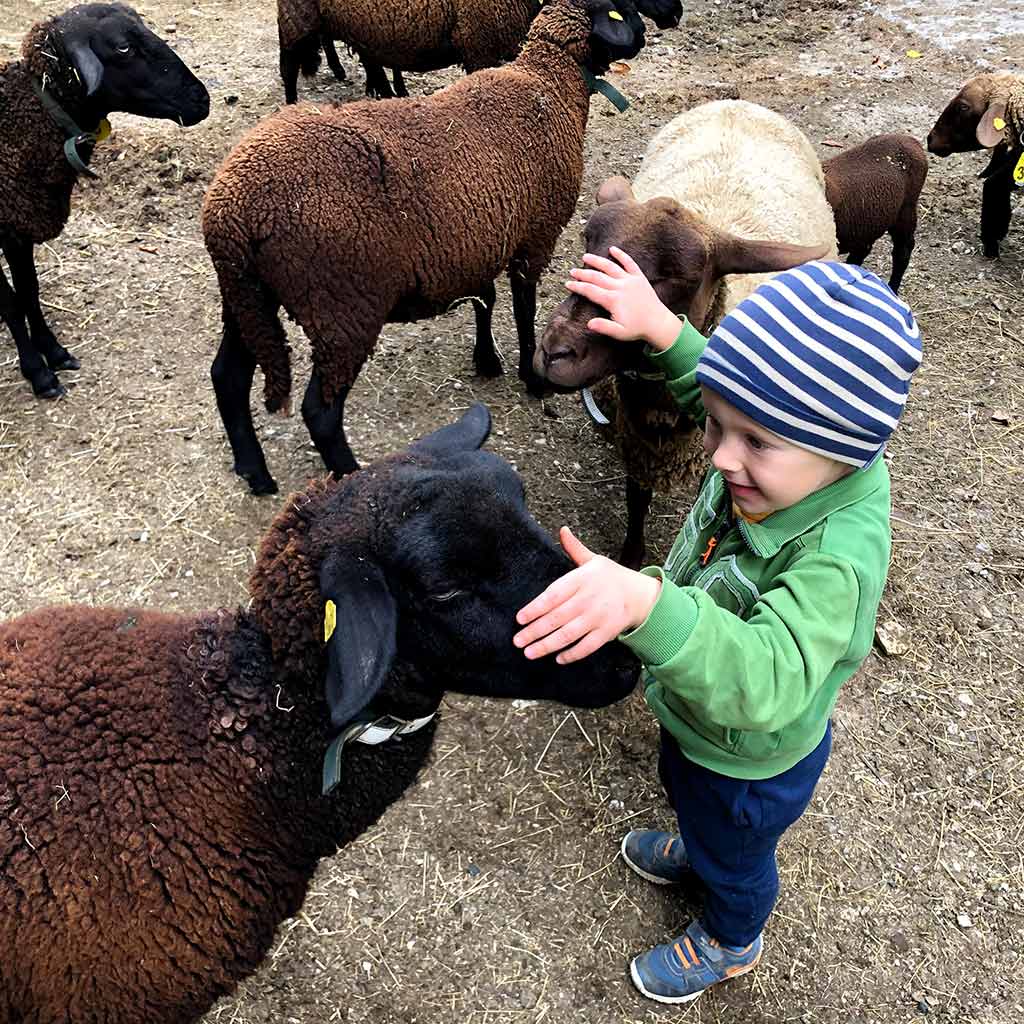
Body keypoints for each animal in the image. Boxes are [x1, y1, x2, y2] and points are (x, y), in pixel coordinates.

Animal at [0, 3, 209, 400]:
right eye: (123, 48)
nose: (201, 100)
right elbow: (12, 303)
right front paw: (38, 372)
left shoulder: (19, 226)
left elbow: (29, 292)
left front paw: (54, 352)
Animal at [534, 100, 835, 567]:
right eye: (587, 244)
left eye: (676, 277)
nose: (553, 353)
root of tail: (738, 102)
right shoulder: (636, 445)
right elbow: (636, 502)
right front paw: (630, 556)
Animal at [822, 133, 928, 294]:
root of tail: (911, 140)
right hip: (868, 223)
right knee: (862, 251)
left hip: (905, 211)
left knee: (902, 252)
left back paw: (893, 289)